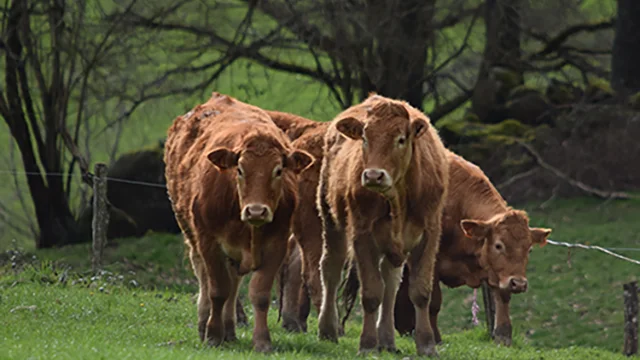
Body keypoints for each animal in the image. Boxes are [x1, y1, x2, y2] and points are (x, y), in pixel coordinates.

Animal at [164, 92, 314, 352]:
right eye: (240, 170)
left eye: (278, 171)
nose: (256, 211)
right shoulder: (209, 242)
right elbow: (217, 290)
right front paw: (213, 336)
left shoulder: (277, 245)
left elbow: (259, 294)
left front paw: (262, 341)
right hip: (192, 237)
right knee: (205, 279)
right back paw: (205, 325)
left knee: (234, 284)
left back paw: (230, 330)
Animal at [316, 94, 448, 356]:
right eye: (365, 138)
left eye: (401, 139)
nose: (373, 175)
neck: (398, 198)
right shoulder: (362, 235)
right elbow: (371, 293)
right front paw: (367, 344)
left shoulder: (429, 234)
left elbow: (420, 292)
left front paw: (426, 344)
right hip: (331, 220)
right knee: (331, 269)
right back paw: (328, 329)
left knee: (391, 282)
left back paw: (386, 339)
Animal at [392, 150, 552, 346]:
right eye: (498, 245)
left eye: (529, 249)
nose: (519, 283)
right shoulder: (432, 263)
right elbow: (434, 302)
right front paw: (436, 338)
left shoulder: (497, 271)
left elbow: (503, 297)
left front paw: (503, 336)